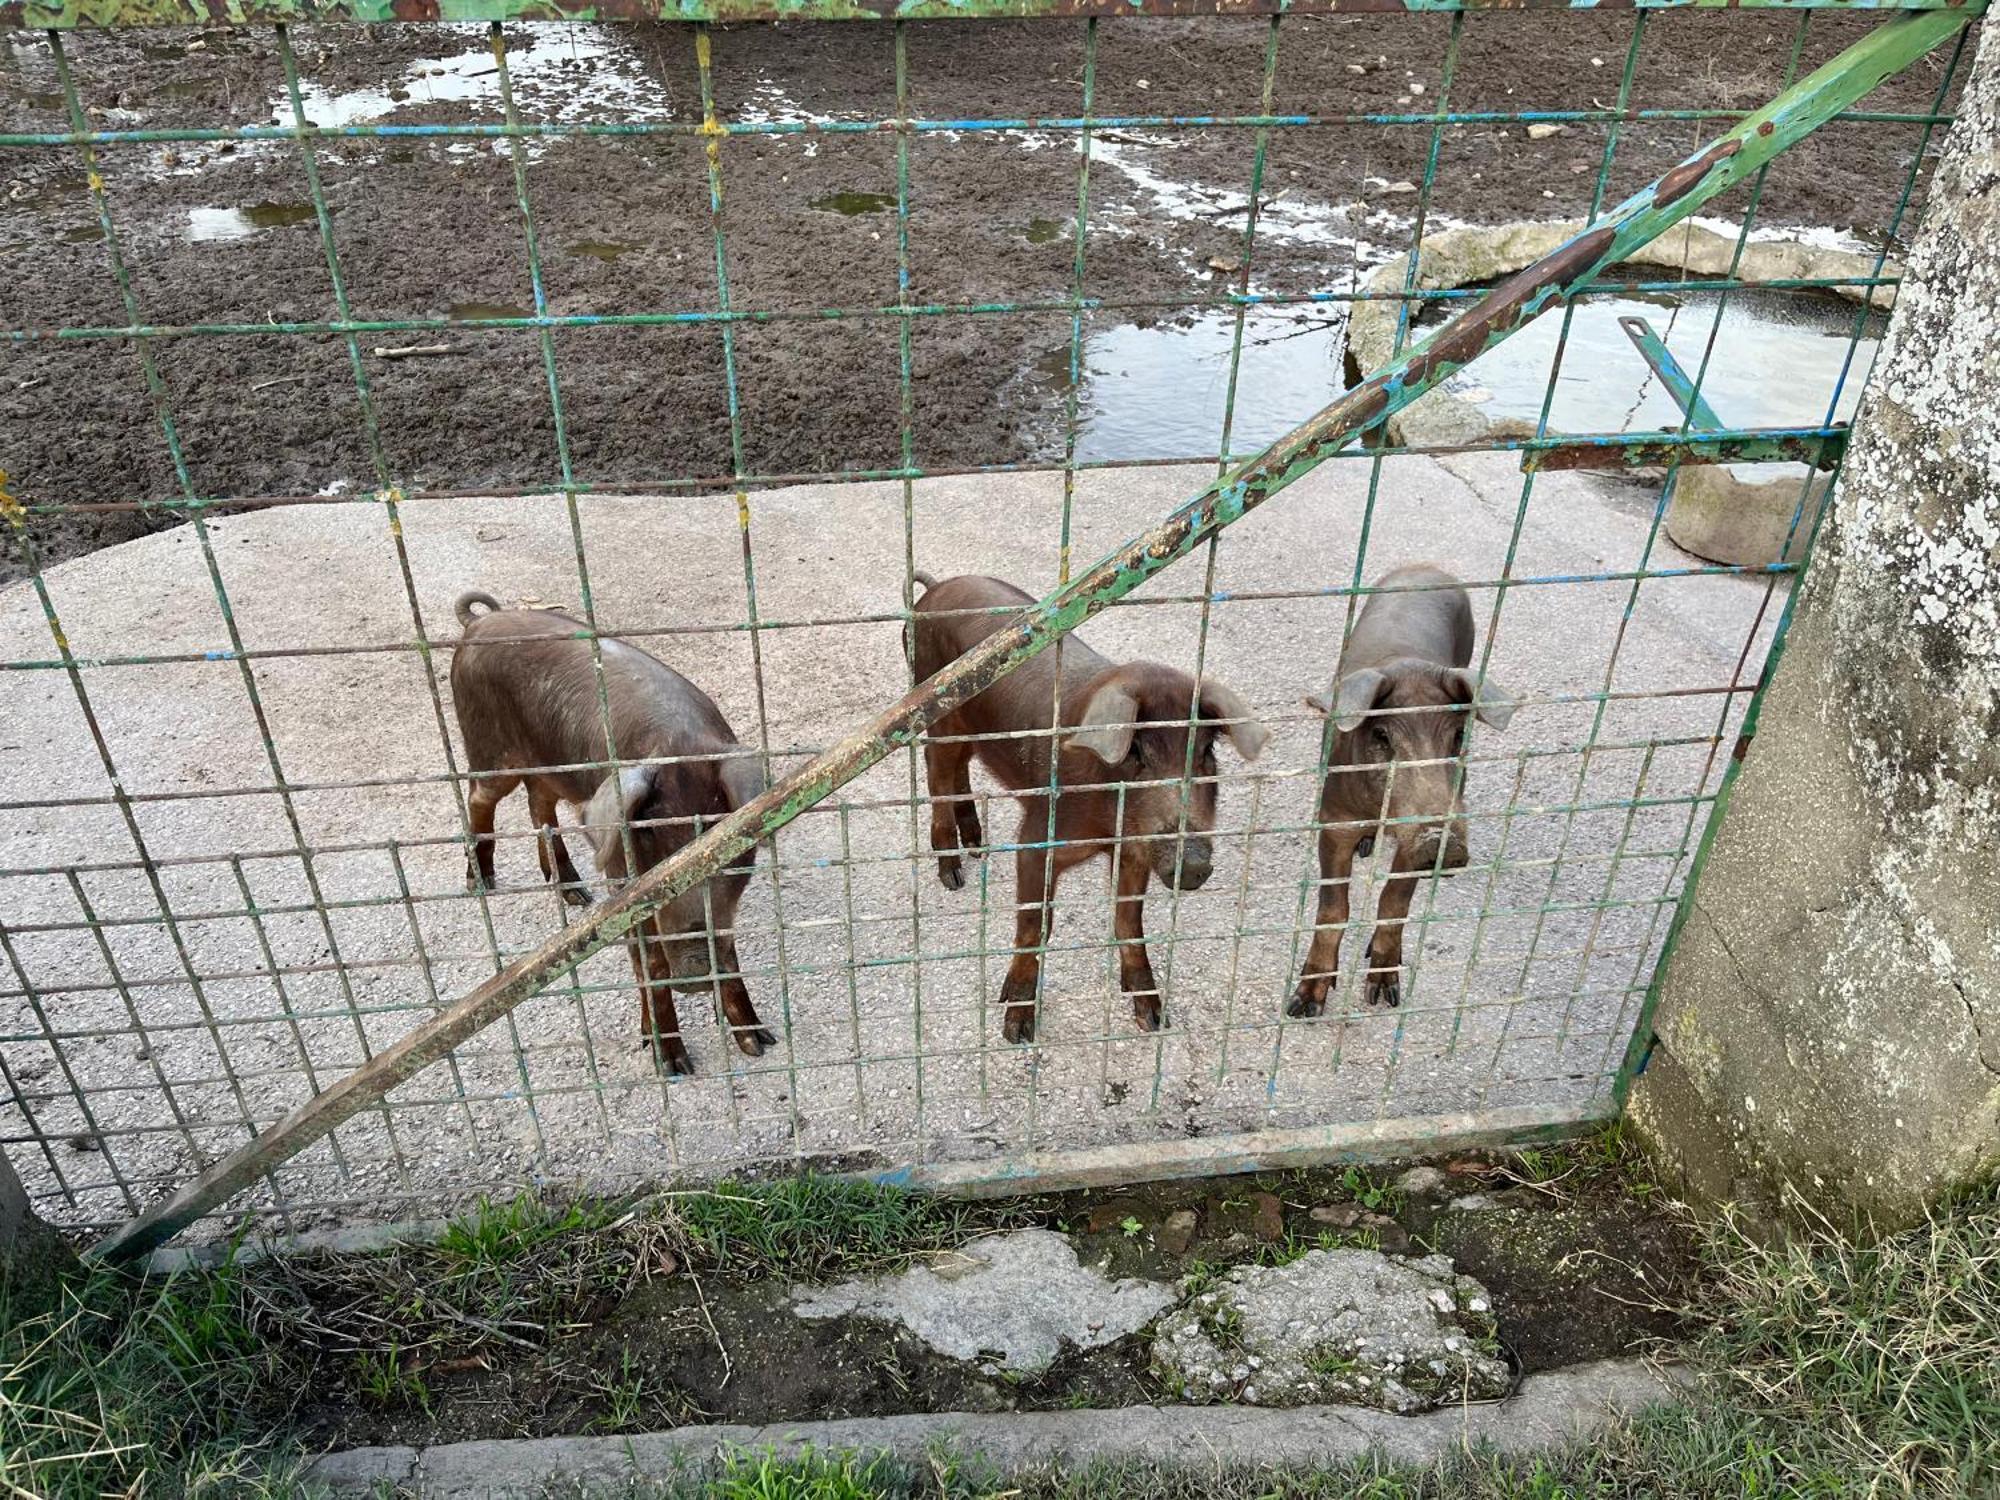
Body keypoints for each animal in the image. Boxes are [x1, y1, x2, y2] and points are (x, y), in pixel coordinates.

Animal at [450, 592, 768, 1072]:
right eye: (651, 843)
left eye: (730, 852)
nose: (695, 968)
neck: (679, 745)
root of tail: (480, 623)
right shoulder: (622, 876)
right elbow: (648, 959)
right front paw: (673, 1064)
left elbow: (728, 951)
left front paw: (760, 1042)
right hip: (487, 746)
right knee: (480, 799)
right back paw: (481, 883)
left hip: (551, 766)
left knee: (539, 804)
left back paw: (575, 893)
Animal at [908, 576, 1264, 1048]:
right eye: (1136, 752)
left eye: (1206, 751)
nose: (1192, 864)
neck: (1106, 825)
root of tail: (935, 590)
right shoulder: (1037, 839)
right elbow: (1036, 925)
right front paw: (1016, 1029)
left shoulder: (1133, 850)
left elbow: (1128, 919)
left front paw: (1152, 1018)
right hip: (935, 715)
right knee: (937, 776)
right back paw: (953, 875)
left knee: (960, 771)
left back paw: (978, 847)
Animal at [1288, 564, 1504, 1024]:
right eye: (1383, 736)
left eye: (1457, 735)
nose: (1442, 844)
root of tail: (1428, 566)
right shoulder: (1336, 820)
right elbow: (1333, 907)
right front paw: (1303, 1004)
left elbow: (1395, 899)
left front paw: (1384, 993)